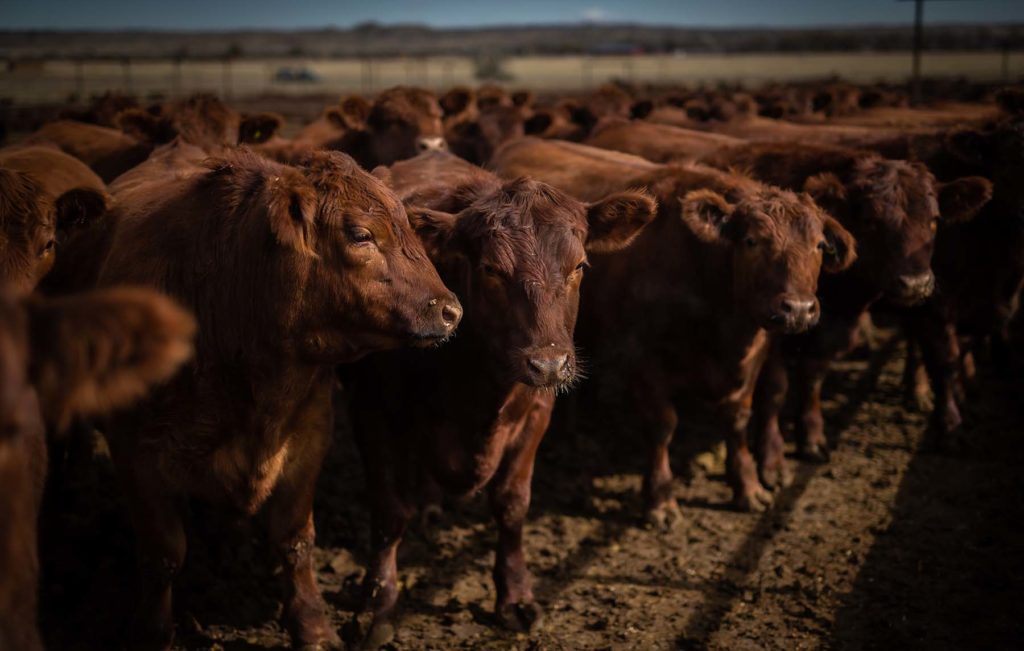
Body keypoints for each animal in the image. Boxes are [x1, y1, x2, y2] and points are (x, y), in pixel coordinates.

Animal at [96, 148, 464, 651]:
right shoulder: (134, 452)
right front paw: (151, 634)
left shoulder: (309, 438)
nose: (451, 310)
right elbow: (163, 555)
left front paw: (313, 627)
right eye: (361, 234)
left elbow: (295, 540)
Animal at [348, 151, 655, 646]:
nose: (548, 364)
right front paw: (376, 604)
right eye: (491, 269)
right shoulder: (370, 409)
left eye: (579, 266)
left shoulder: (536, 413)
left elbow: (512, 505)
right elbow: (389, 512)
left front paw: (514, 597)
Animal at [491, 138, 860, 517]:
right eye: (751, 241)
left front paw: (747, 485)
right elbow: (662, 425)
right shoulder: (642, 359)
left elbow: (738, 418)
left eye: (819, 244)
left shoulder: (756, 352)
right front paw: (660, 499)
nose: (798, 309)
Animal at [700, 140, 995, 481]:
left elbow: (941, 361)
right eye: (871, 221)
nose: (915, 283)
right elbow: (775, 389)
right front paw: (772, 460)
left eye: (934, 219)